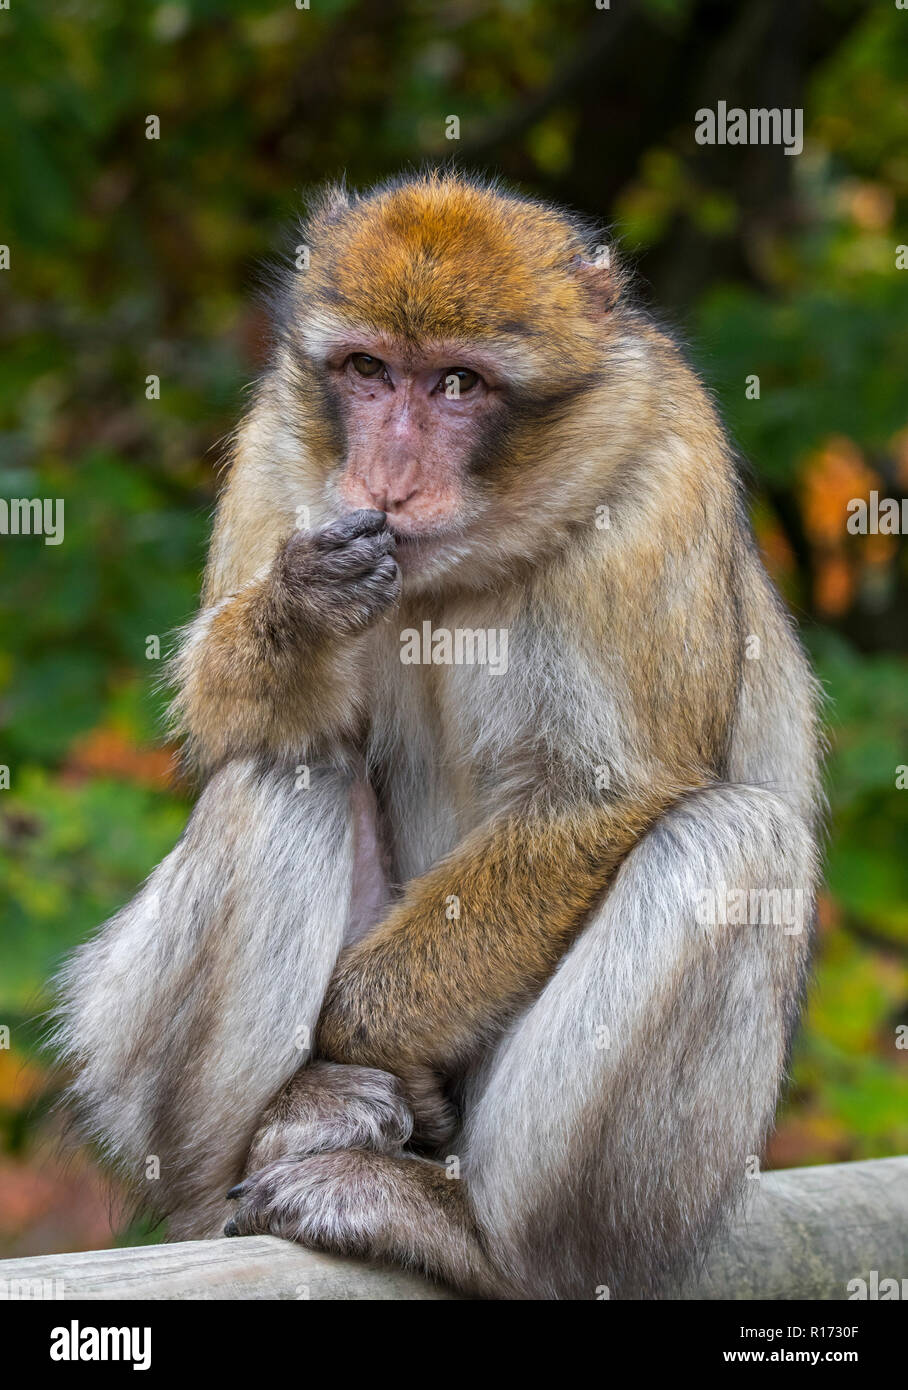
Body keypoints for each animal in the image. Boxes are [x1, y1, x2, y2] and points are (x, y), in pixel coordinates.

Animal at [54, 171, 822, 1300]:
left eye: (458, 384)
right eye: (369, 371)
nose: (386, 478)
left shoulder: (658, 478)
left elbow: (604, 792)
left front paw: (360, 1028)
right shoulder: (279, 443)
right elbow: (223, 715)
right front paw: (297, 612)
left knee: (734, 843)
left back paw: (479, 1237)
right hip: (140, 1086)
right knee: (288, 771)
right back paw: (289, 1120)